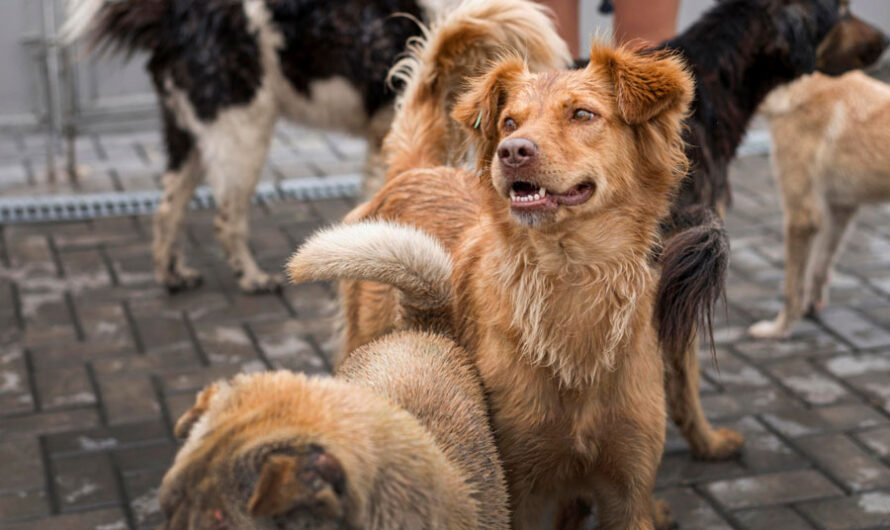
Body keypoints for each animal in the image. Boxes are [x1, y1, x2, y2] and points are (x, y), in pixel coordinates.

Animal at [64, 0, 450, 292]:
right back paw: (251, 278)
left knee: (167, 210)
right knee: (226, 221)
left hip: (188, 137)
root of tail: (178, 15)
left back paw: (172, 276)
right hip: (243, 135)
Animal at [290, 39, 692, 524]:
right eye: (509, 123)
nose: (513, 150)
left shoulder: (628, 490)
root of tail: (416, 171)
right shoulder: (514, 486)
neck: (570, 277)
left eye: (582, 114)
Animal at [748, 69, 888, 338]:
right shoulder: (840, 208)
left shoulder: (801, 215)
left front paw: (779, 330)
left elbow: (792, 288)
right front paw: (811, 307)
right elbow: (820, 267)